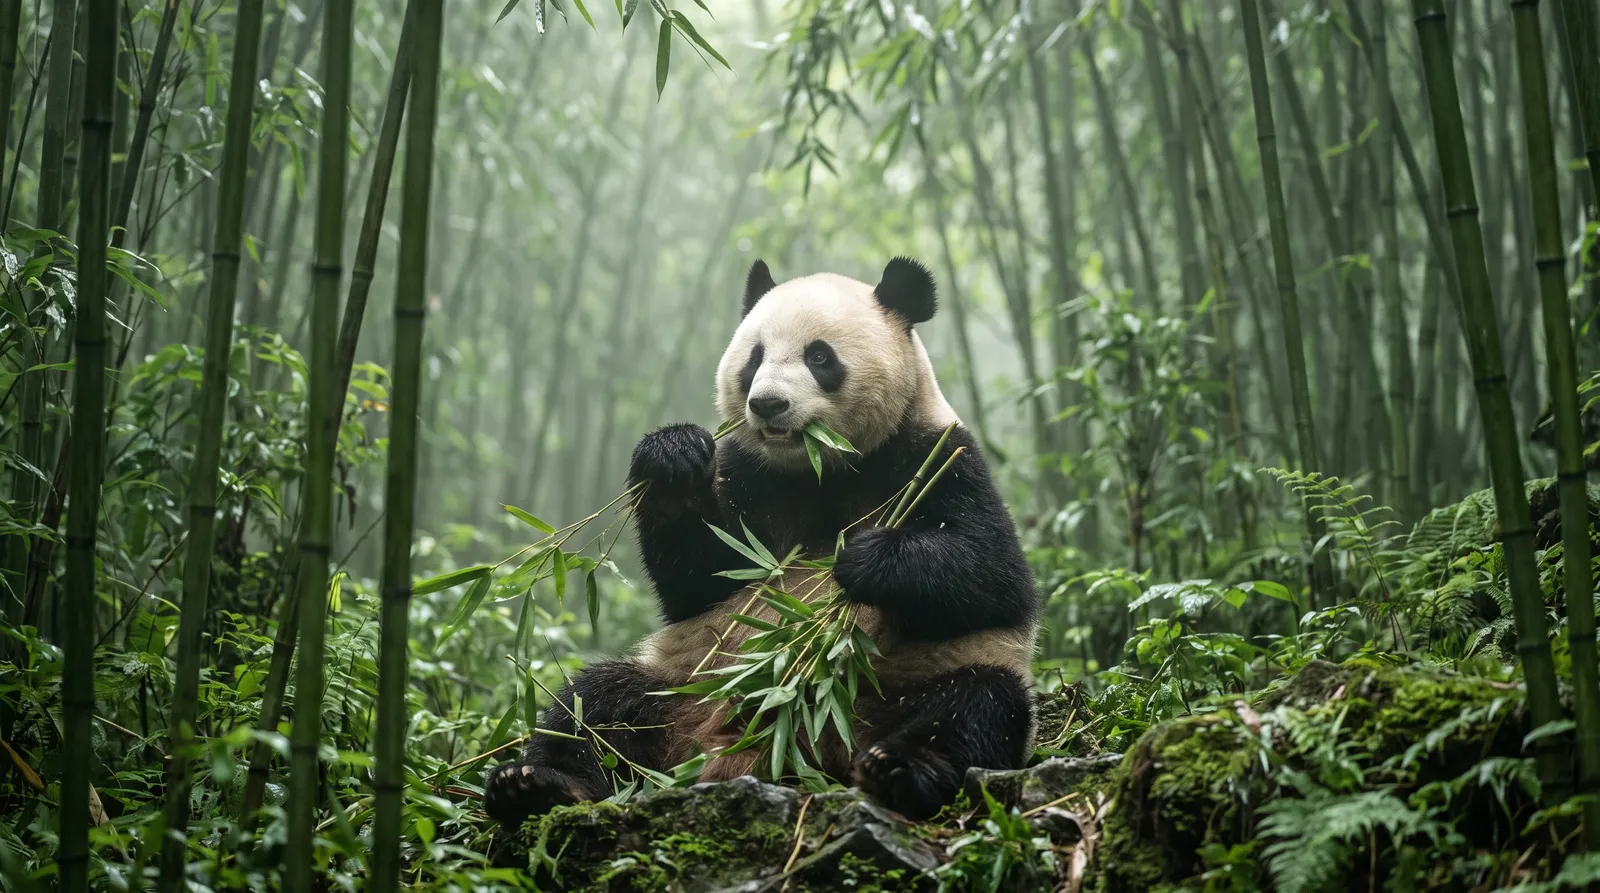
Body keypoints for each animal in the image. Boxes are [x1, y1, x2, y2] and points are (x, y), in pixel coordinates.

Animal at [483, 257, 1039, 823]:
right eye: (755, 358)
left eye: (820, 356)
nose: (768, 404)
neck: (821, 466)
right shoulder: (751, 474)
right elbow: (700, 578)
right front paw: (672, 458)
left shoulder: (939, 457)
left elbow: (994, 576)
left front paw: (865, 559)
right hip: (679, 683)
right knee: (592, 707)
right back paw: (536, 784)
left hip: (908, 682)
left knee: (971, 708)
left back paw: (897, 772)